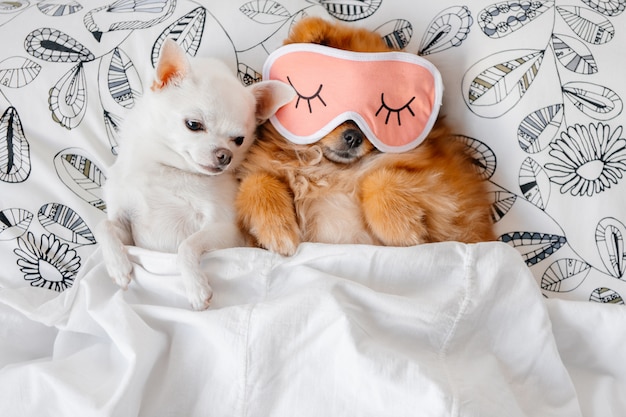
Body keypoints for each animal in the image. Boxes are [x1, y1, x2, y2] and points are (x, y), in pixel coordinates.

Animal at [95, 39, 294, 308]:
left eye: (239, 140)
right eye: (193, 125)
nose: (224, 155)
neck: (168, 170)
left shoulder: (228, 230)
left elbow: (187, 245)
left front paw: (196, 287)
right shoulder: (127, 229)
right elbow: (103, 225)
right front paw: (117, 266)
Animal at [234, 16, 492, 255]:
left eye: (388, 113)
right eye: (321, 99)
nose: (354, 137)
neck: (331, 171)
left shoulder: (453, 202)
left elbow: (378, 178)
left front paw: (401, 229)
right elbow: (255, 181)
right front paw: (277, 230)